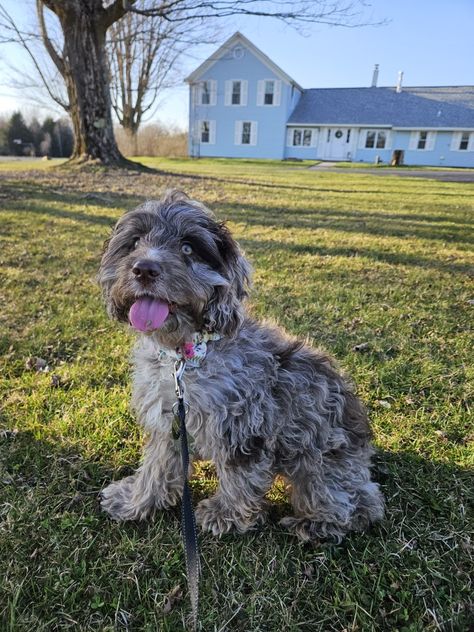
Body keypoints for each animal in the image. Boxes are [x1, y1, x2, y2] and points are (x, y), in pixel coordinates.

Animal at [98, 190, 384, 540]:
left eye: (188, 247)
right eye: (136, 242)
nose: (144, 269)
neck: (187, 356)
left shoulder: (244, 425)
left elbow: (240, 477)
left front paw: (226, 514)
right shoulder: (169, 420)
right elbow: (156, 467)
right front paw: (135, 501)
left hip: (321, 461)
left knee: (357, 503)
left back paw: (316, 523)